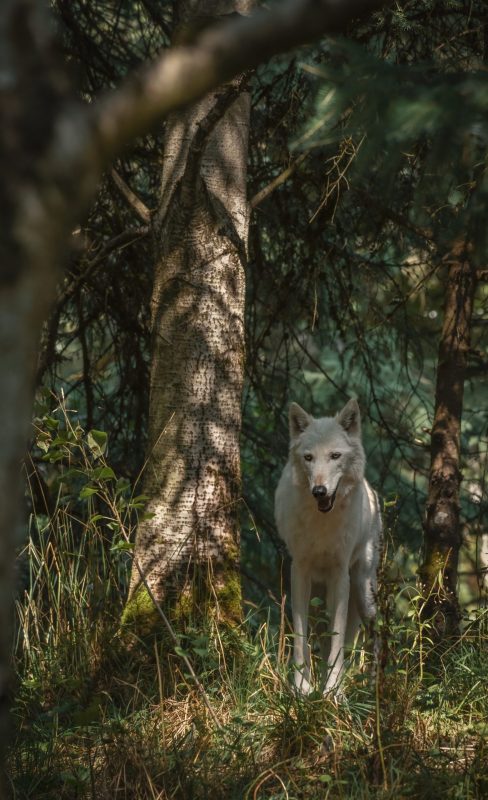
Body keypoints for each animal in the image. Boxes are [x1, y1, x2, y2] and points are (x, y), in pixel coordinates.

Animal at [275, 399, 381, 695]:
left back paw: (373, 686)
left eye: (335, 456)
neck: (323, 523)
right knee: (321, 638)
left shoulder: (339, 574)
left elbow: (337, 638)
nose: (319, 491)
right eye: (309, 458)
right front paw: (302, 689)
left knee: (375, 632)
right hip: (319, 596)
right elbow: (301, 637)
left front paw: (334, 691)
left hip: (362, 589)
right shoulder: (299, 570)